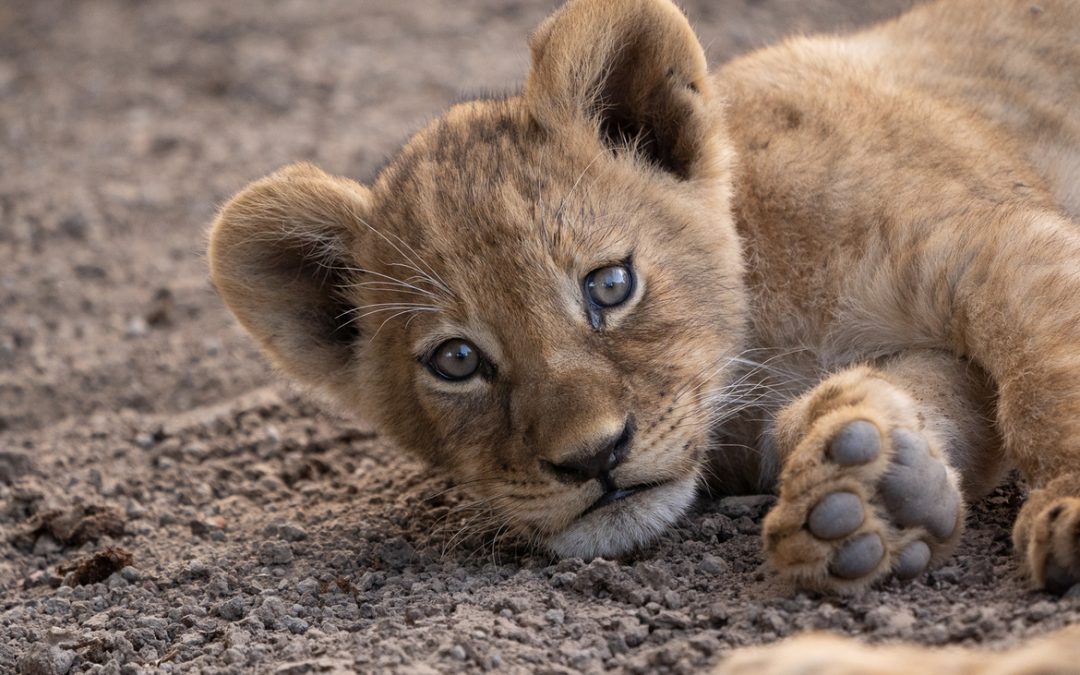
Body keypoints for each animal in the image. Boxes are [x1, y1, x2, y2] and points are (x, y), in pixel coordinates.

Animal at [207, 0, 1080, 669]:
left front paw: (1066, 510)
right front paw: (868, 492)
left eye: (610, 286)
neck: (767, 326)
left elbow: (1046, 375)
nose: (594, 458)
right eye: (456, 360)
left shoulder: (991, 243)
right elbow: (947, 393)